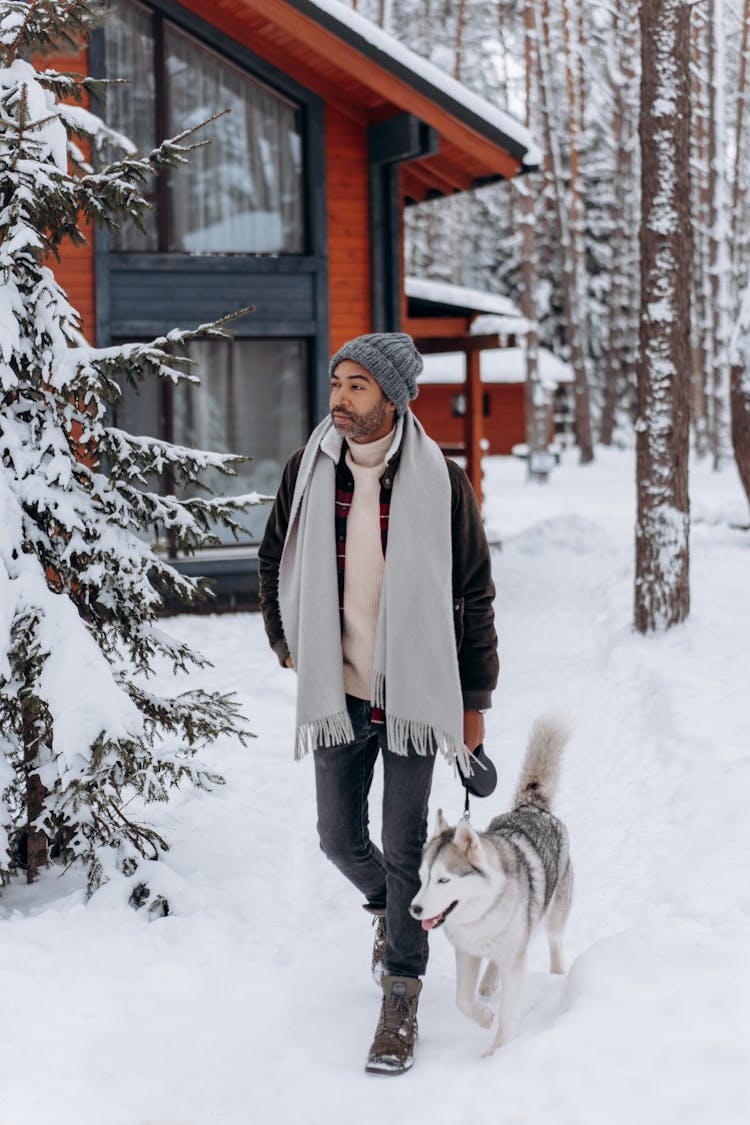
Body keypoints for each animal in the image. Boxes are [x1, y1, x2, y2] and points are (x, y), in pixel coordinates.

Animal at [407, 720, 571, 1053]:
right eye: (424, 876)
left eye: (444, 879)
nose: (414, 909)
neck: (483, 911)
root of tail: (531, 807)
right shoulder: (466, 952)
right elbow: (462, 1001)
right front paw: (483, 1018)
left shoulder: (515, 960)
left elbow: (508, 1017)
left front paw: (498, 1053)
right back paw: (487, 984)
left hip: (554, 913)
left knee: (555, 941)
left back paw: (558, 974)